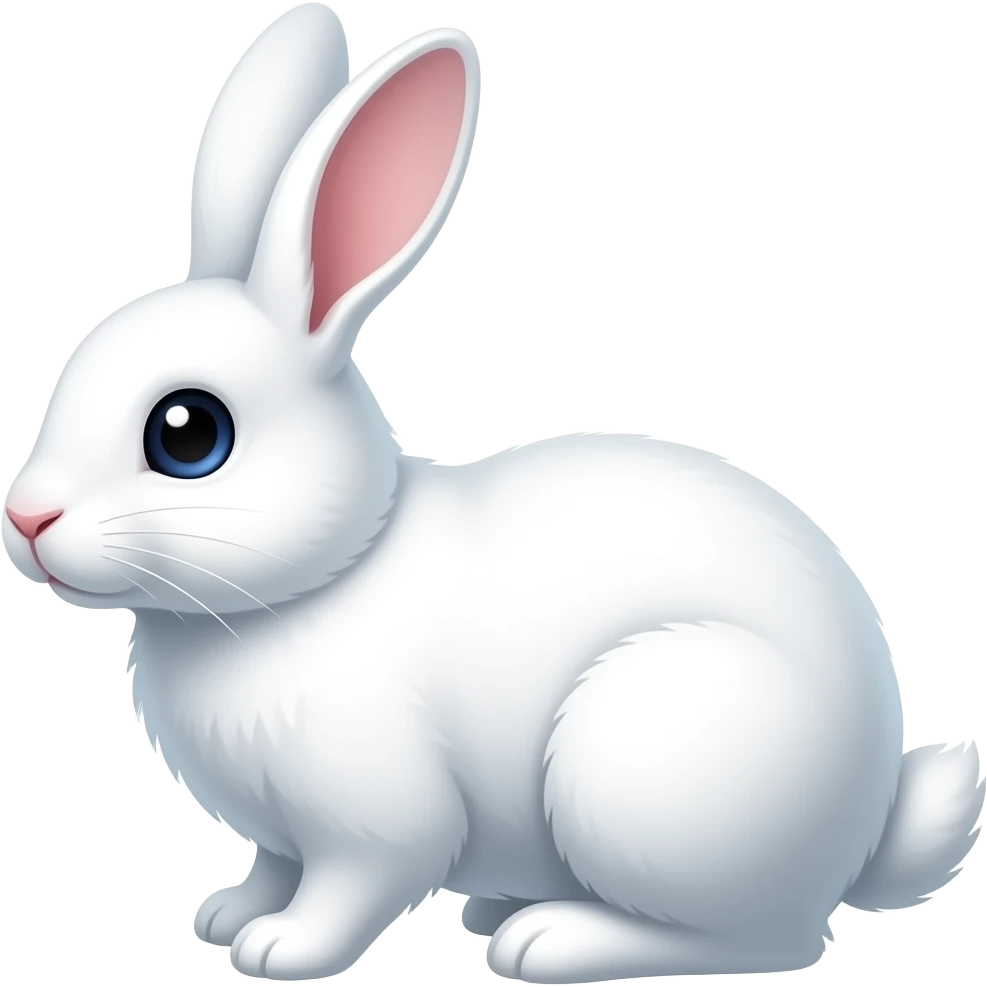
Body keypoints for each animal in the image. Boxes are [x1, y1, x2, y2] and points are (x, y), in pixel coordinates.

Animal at [2, 4, 984, 983]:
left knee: (766, 940)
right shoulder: (281, 835)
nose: (26, 518)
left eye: (188, 434)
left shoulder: (373, 824)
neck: (321, 578)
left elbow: (350, 886)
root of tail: (863, 827)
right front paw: (226, 913)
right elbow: (272, 866)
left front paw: (281, 948)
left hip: (637, 761)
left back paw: (547, 938)